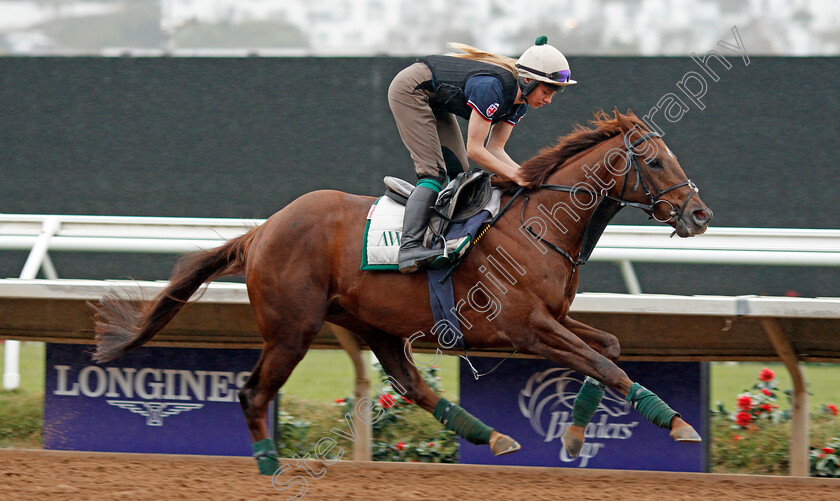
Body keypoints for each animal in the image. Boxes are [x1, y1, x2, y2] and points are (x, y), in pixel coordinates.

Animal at [95, 109, 716, 472]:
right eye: (655, 161)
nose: (699, 214)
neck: (539, 223)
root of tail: (264, 230)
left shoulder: (555, 317)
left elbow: (608, 350)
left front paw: (574, 435)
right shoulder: (526, 328)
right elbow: (605, 364)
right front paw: (678, 424)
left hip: (376, 325)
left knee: (412, 384)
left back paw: (494, 437)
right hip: (291, 331)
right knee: (252, 394)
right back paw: (270, 469)